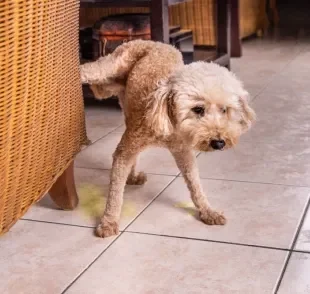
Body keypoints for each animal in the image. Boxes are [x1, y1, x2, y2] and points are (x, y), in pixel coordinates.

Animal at [81, 39, 256, 238]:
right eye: (198, 109)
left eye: (224, 110)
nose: (219, 142)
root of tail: (153, 41)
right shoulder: (126, 150)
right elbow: (115, 193)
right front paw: (109, 221)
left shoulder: (183, 152)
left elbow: (195, 184)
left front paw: (207, 211)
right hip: (111, 66)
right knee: (90, 69)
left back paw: (133, 176)